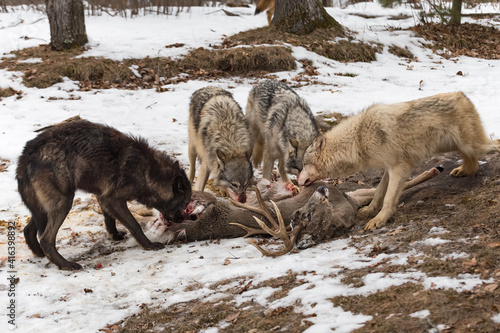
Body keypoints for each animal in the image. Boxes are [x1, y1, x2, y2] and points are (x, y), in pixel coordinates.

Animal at [16, 119, 190, 270]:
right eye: (184, 205)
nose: (181, 220)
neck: (147, 172)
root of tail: (26, 154)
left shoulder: (103, 196)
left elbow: (109, 218)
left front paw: (114, 235)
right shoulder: (113, 199)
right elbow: (135, 225)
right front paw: (149, 245)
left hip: (44, 208)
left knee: (28, 231)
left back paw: (40, 254)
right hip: (63, 204)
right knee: (46, 239)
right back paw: (66, 265)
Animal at [298, 92, 498, 230]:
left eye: (303, 165)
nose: (297, 181)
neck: (358, 138)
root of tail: (462, 95)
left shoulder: (399, 167)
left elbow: (388, 198)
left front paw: (378, 220)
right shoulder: (390, 167)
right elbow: (379, 192)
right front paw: (370, 210)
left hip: (474, 145)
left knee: (495, 144)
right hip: (457, 147)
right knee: (472, 161)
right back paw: (463, 170)